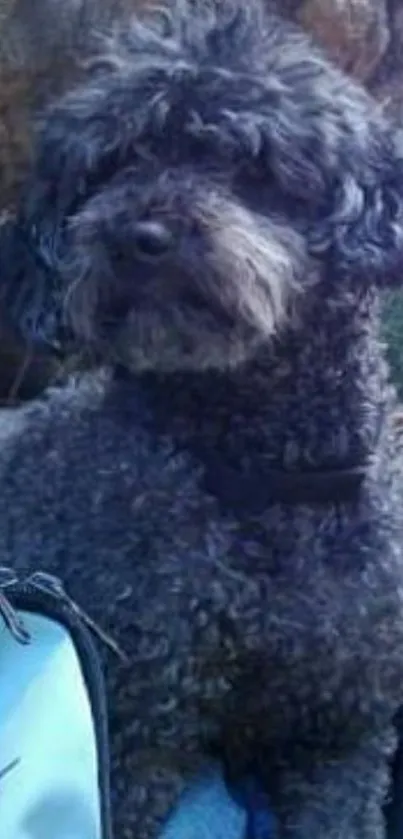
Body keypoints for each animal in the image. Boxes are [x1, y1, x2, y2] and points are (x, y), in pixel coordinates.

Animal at [2, 0, 403, 836]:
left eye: (248, 164)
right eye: (113, 165)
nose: (140, 236)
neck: (261, 475)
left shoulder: (340, 734)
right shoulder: (136, 728)